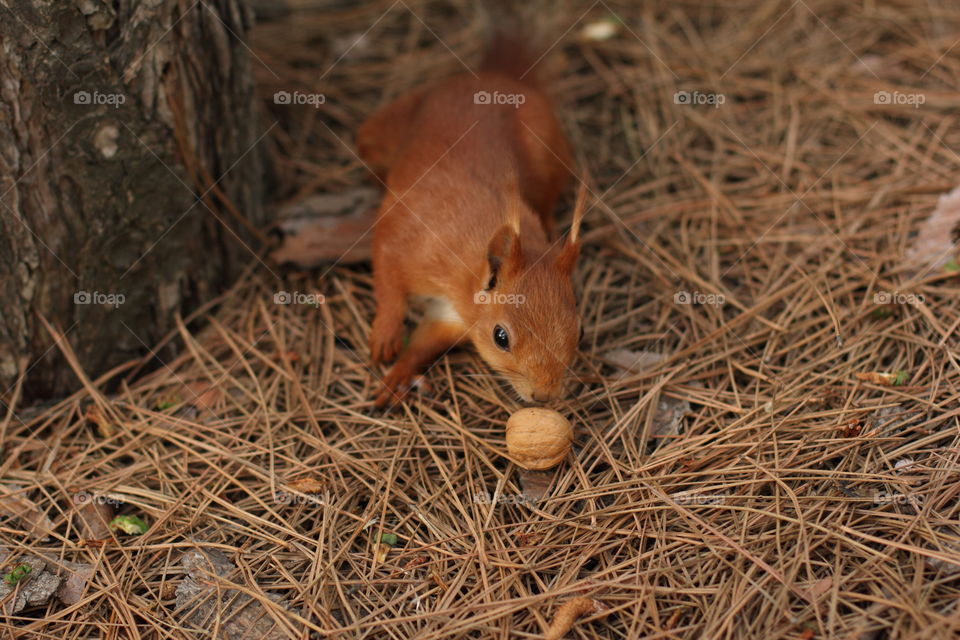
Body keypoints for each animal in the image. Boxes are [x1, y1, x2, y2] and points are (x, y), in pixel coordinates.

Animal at [357, 23, 584, 408]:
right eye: (500, 337)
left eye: (579, 331)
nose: (544, 395)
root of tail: (498, 78)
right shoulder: (403, 235)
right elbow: (386, 278)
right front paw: (385, 334)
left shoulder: (454, 316)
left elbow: (425, 343)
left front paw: (401, 374)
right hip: (378, 134)